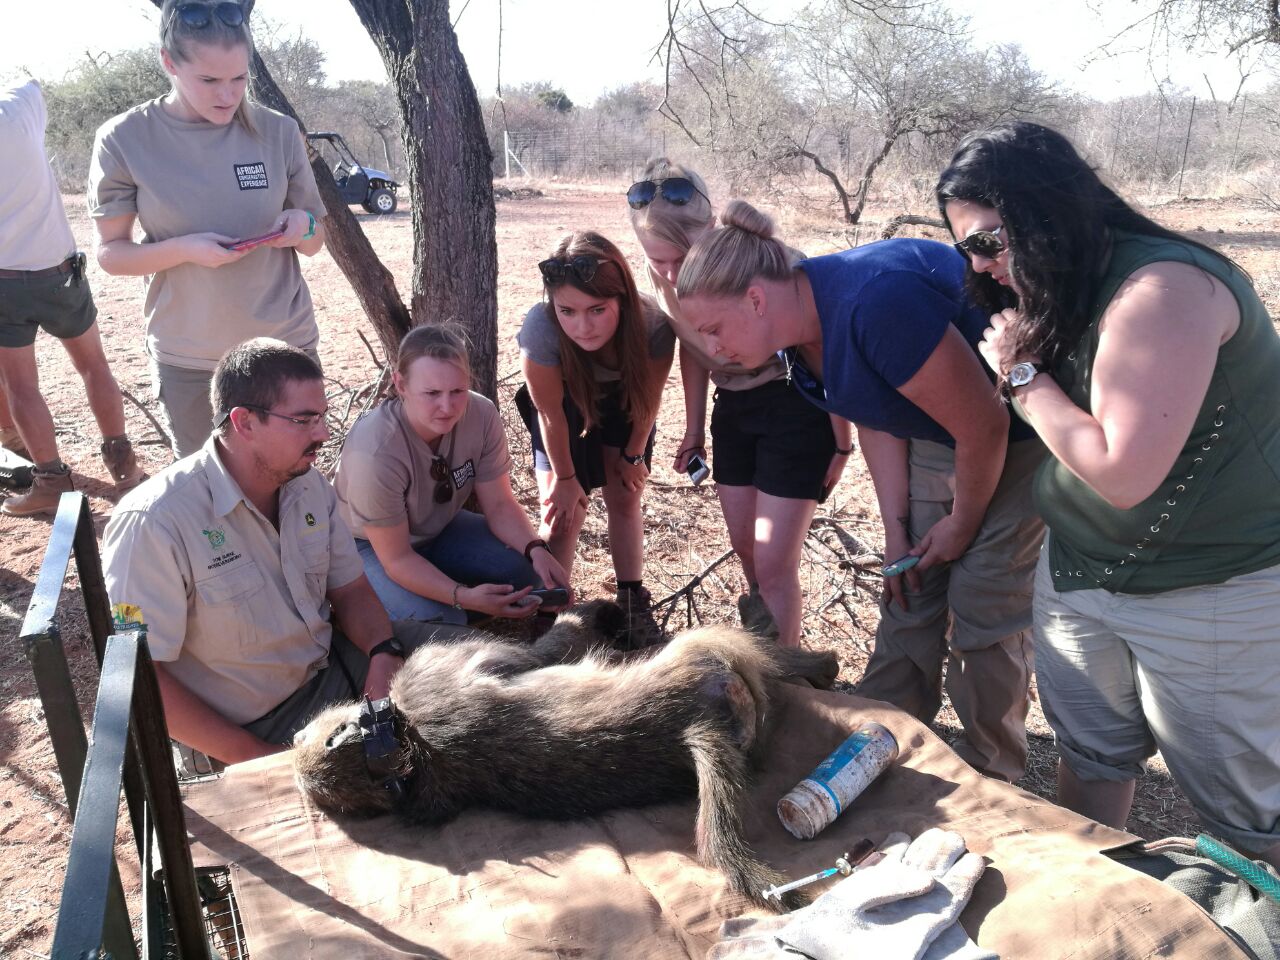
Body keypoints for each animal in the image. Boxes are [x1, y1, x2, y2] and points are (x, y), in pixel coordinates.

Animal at [293, 603, 840, 912]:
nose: (296, 734)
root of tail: (690, 727)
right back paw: (820, 664)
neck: (405, 747)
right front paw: (596, 610)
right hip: (700, 656)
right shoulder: (442, 669)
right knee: (756, 656)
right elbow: (548, 647)